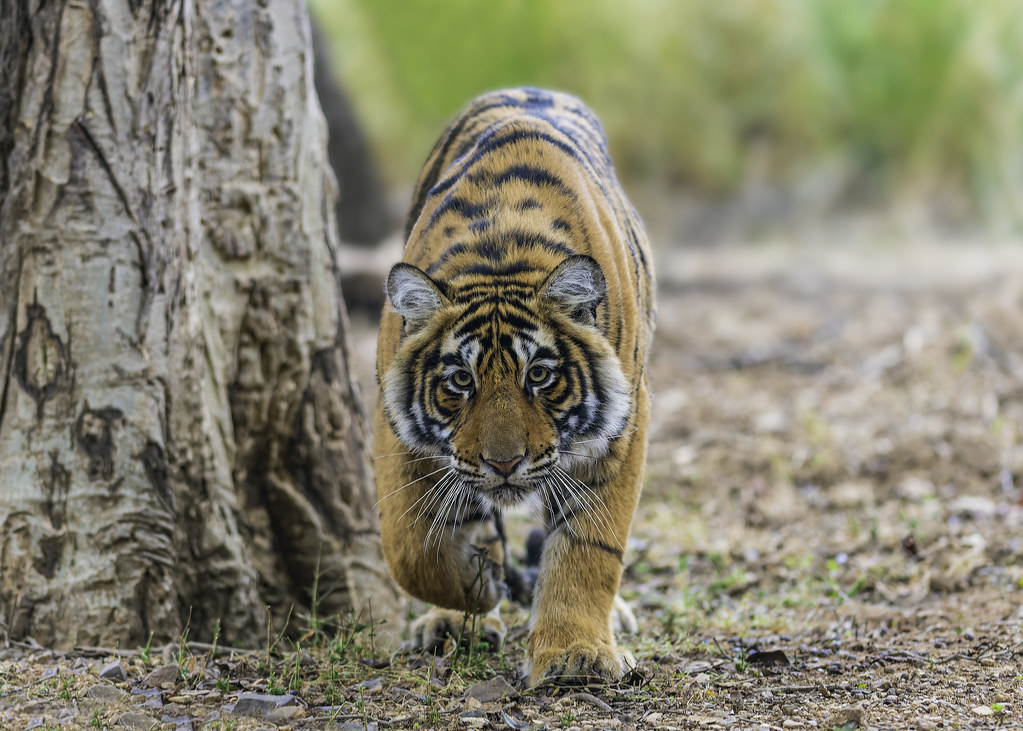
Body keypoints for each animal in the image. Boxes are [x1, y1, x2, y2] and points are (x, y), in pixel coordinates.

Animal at [374, 87, 655, 686]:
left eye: (539, 376)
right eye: (461, 380)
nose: (504, 464)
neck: (500, 254)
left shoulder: (623, 427)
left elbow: (591, 546)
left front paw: (576, 653)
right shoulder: (397, 431)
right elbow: (410, 549)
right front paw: (476, 584)